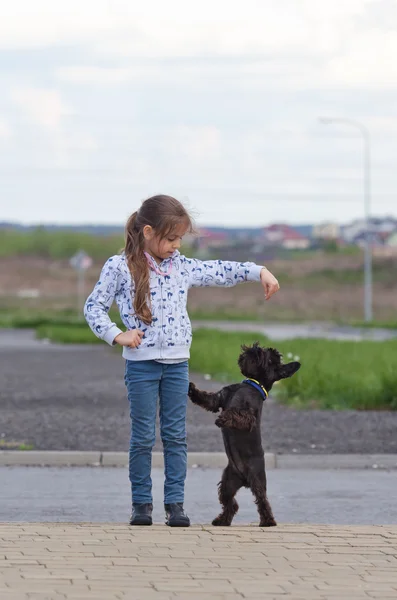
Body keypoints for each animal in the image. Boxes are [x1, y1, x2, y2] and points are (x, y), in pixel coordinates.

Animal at [187, 344, 298, 528]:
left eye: (270, 359)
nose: (255, 348)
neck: (251, 384)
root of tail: (244, 479)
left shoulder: (249, 416)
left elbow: (236, 413)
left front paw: (223, 419)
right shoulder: (218, 398)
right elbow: (207, 398)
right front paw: (191, 389)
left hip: (257, 479)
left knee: (262, 500)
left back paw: (268, 522)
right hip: (227, 483)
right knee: (231, 503)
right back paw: (222, 520)